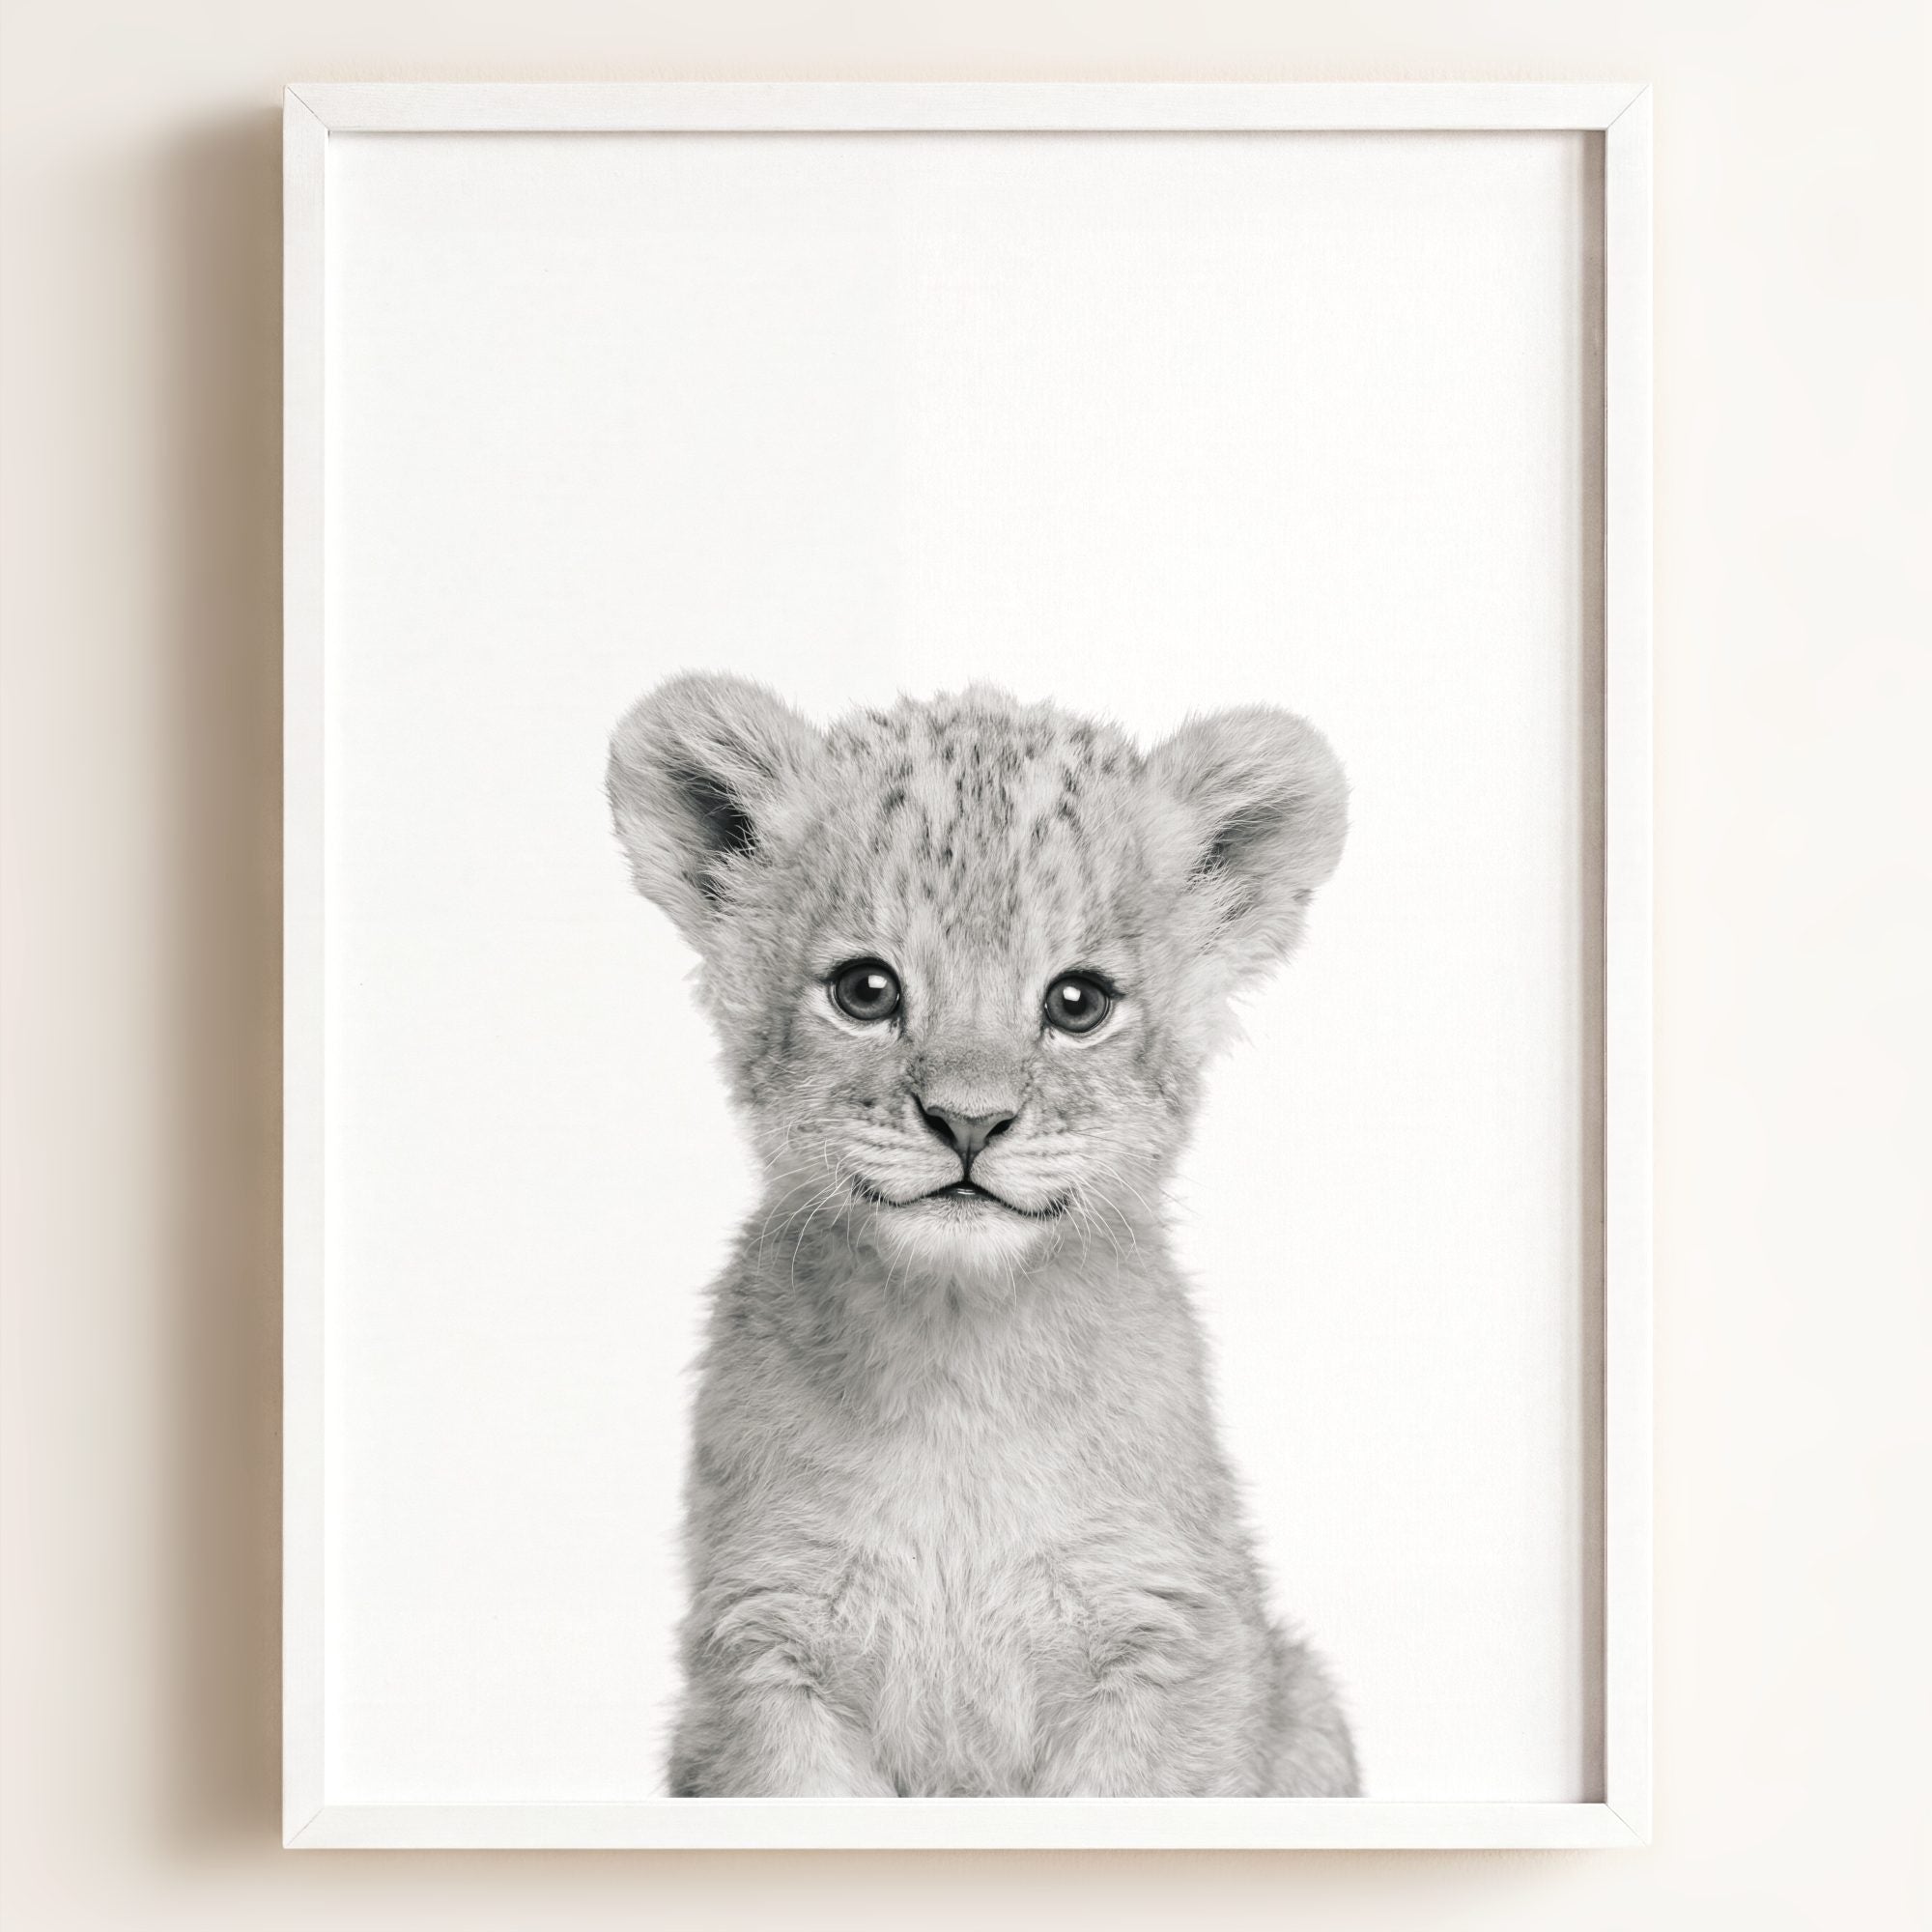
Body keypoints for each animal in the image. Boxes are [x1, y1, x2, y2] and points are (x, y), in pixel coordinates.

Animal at [608, 675, 1358, 1797]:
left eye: (1078, 1001)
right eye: (865, 990)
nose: (968, 1122)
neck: (958, 1364)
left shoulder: (1170, 1639)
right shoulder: (763, 1648)